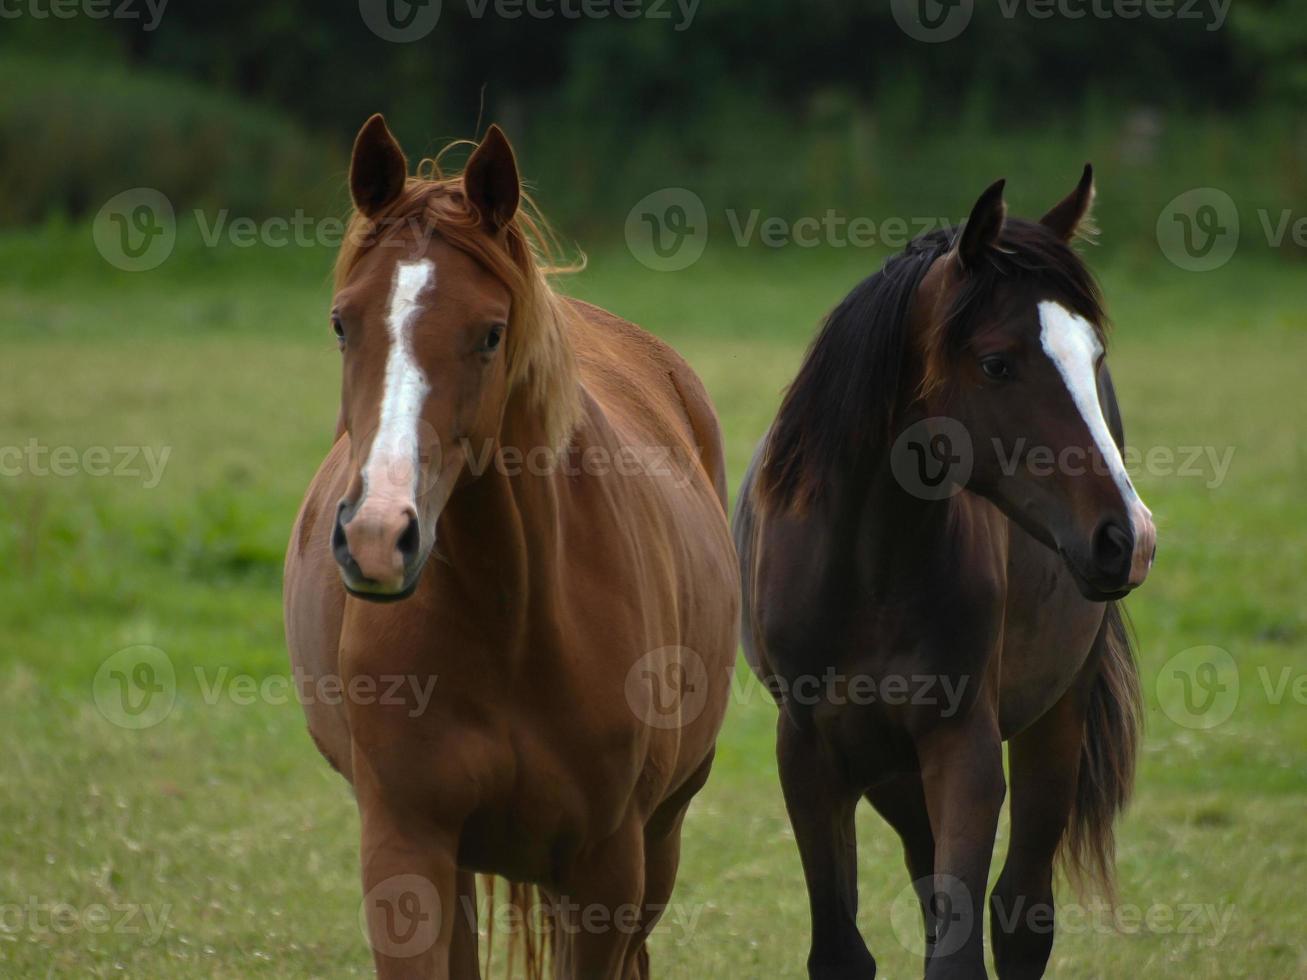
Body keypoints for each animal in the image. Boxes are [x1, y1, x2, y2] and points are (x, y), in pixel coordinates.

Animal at [283, 116, 737, 980]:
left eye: (490, 334)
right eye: (339, 323)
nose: (377, 537)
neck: (512, 618)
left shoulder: (606, 872)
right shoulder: (406, 851)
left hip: (657, 843)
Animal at [737, 165, 1155, 977]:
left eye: (1092, 358)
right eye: (996, 363)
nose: (1129, 538)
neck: (865, 571)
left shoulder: (965, 753)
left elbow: (963, 950)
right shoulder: (808, 758)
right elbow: (843, 950)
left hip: (1052, 718)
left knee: (1021, 913)